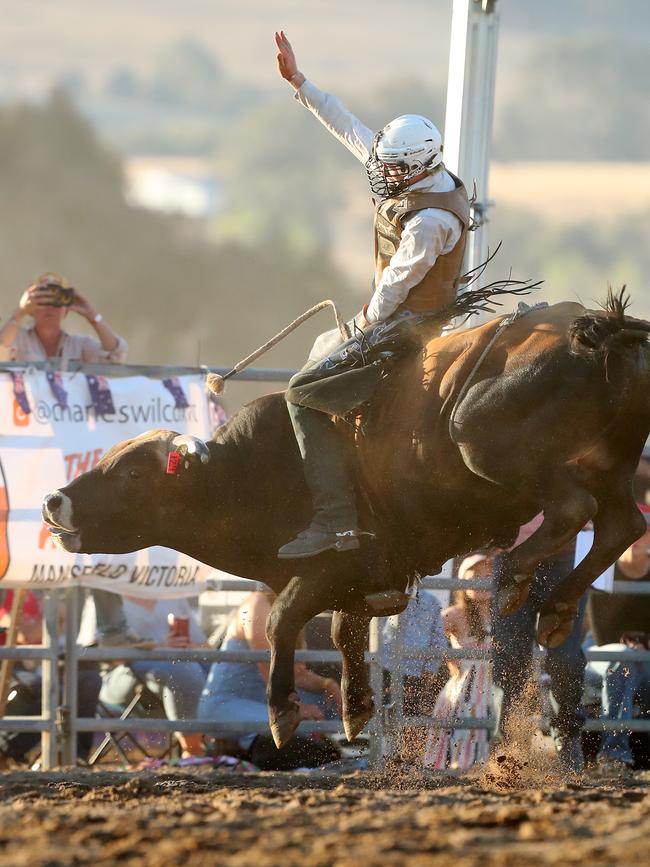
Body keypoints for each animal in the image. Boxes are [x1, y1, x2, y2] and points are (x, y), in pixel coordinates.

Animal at [40, 290, 648, 744]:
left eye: (133, 475)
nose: (53, 502)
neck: (249, 471)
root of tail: (597, 328)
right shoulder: (359, 581)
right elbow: (342, 630)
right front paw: (356, 708)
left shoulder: (326, 566)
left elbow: (282, 620)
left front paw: (283, 711)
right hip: (609, 466)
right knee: (623, 525)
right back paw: (558, 609)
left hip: (484, 439)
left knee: (575, 509)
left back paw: (518, 576)